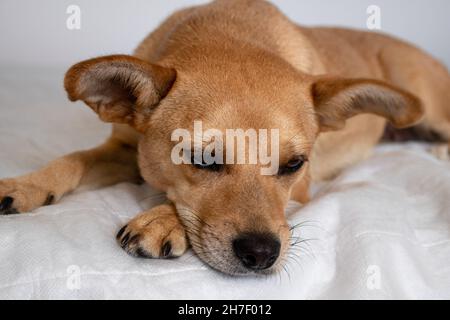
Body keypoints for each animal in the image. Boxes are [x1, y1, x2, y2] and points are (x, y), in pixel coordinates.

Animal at [0, 0, 450, 276]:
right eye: (202, 159)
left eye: (294, 165)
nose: (261, 255)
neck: (229, 32)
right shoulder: (125, 150)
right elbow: (72, 159)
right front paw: (27, 185)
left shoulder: (304, 188)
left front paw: (163, 219)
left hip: (428, 104)